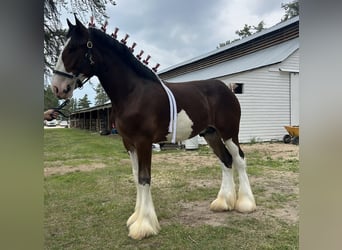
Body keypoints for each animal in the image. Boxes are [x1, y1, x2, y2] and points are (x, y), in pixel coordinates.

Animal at [49, 16, 255, 240]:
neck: (133, 92)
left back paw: (245, 204)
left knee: (239, 159)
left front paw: (144, 225)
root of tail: (227, 88)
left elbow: (144, 178)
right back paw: (223, 202)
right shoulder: (129, 143)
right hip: (211, 134)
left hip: (229, 133)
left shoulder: (143, 141)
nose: (58, 88)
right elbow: (135, 176)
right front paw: (135, 218)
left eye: (73, 48)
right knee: (226, 161)